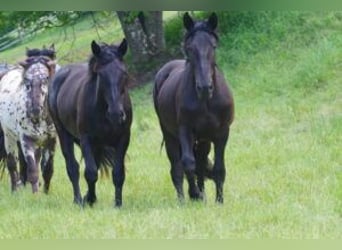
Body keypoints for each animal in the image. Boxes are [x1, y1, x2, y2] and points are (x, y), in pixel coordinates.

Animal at [0, 55, 56, 192]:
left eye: (46, 78)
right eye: (27, 81)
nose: (35, 110)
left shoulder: (51, 141)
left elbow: (47, 170)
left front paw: (46, 193)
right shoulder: (27, 140)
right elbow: (33, 171)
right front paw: (35, 194)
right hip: (9, 137)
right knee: (12, 163)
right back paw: (15, 189)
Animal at [48, 38, 132, 207]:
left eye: (124, 72)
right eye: (100, 74)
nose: (116, 114)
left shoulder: (124, 138)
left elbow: (118, 173)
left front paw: (118, 204)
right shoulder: (86, 138)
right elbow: (91, 172)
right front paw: (90, 199)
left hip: (96, 144)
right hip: (64, 134)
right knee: (73, 167)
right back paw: (78, 199)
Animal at [153, 12, 235, 203]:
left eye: (213, 46)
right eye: (190, 48)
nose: (204, 87)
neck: (206, 102)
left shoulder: (222, 133)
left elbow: (218, 169)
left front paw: (219, 201)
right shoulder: (185, 130)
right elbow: (188, 164)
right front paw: (195, 195)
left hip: (204, 140)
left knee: (200, 163)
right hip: (171, 136)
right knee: (177, 167)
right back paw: (183, 200)